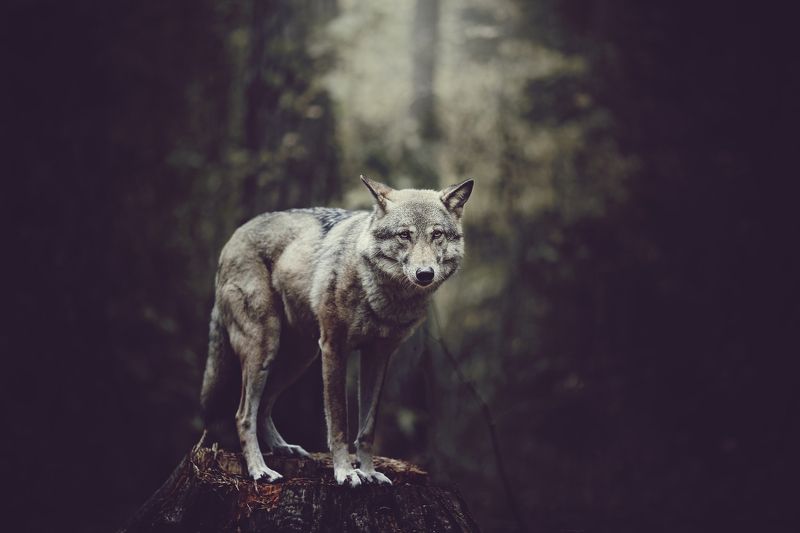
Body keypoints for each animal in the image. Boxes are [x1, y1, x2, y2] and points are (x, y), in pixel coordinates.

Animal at [200, 175, 474, 486]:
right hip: (265, 349)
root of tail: (234, 236)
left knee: (265, 405)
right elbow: (339, 422)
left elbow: (367, 428)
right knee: (243, 414)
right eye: (404, 235)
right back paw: (260, 469)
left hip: (298, 359)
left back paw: (283, 448)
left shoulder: (378, 356)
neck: (383, 296)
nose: (425, 274)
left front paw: (369, 472)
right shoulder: (334, 348)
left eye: (437, 235)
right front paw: (345, 472)